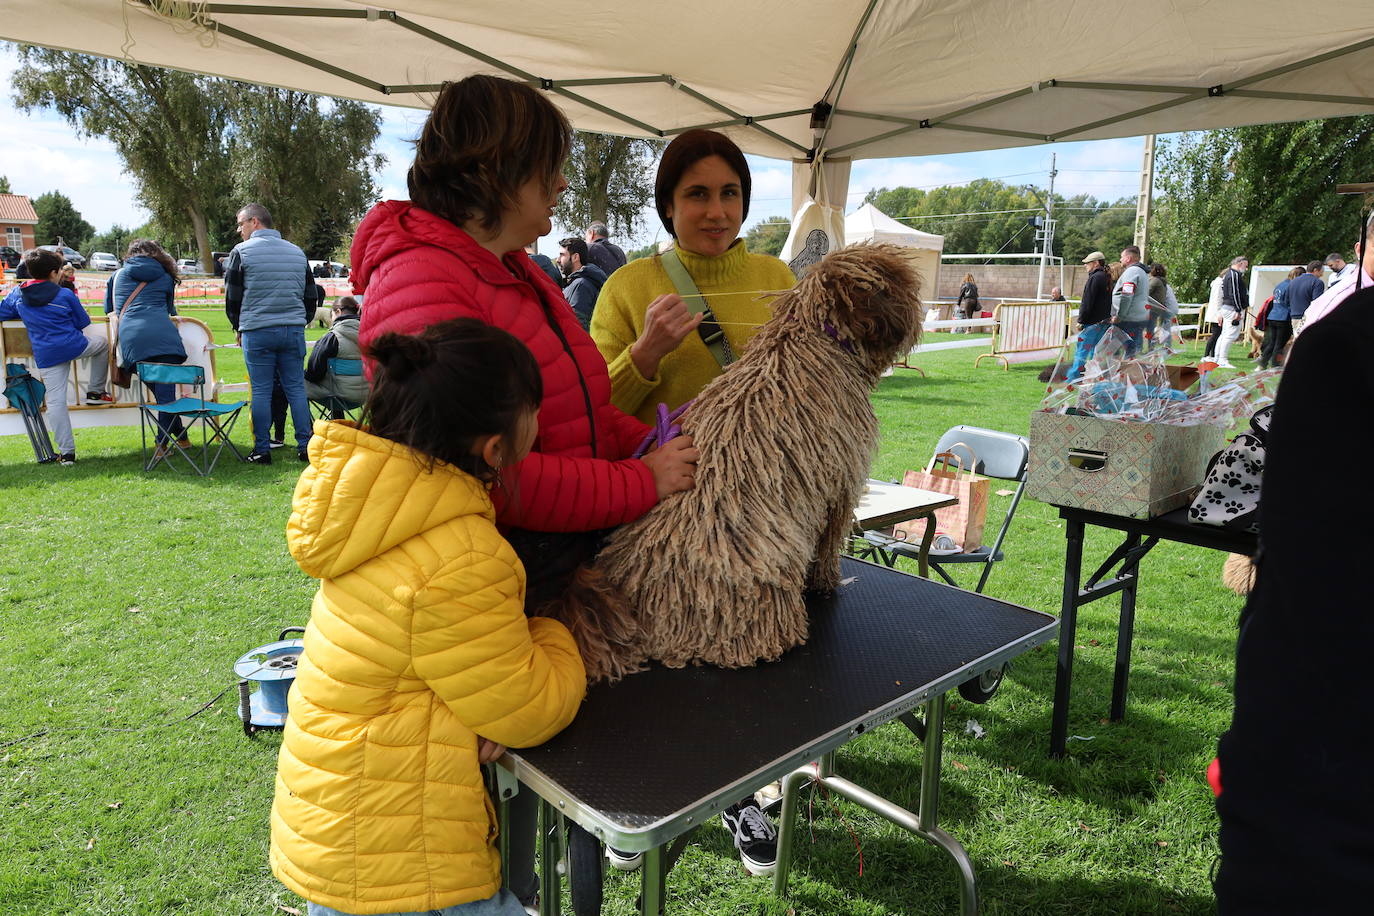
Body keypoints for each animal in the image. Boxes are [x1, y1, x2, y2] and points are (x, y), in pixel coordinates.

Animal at [546, 243, 923, 681]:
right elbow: (830, 542)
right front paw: (827, 582)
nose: (917, 304)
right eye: (896, 282)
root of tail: (642, 608)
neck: (817, 338)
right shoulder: (840, 482)